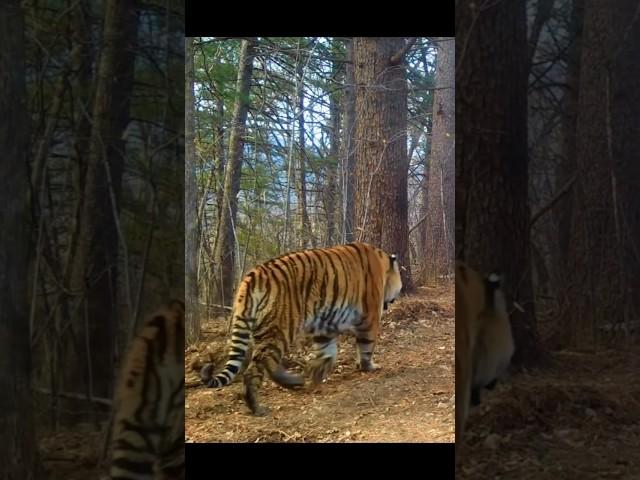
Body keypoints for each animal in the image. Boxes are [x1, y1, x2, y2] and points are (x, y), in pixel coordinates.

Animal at [201, 244, 400, 416]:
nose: (393, 300)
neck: (382, 263)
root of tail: (250, 277)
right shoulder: (370, 316)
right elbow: (366, 345)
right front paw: (369, 366)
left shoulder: (325, 324)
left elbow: (328, 352)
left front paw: (317, 372)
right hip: (280, 328)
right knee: (257, 369)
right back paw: (257, 407)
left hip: (264, 332)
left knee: (269, 365)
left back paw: (294, 382)